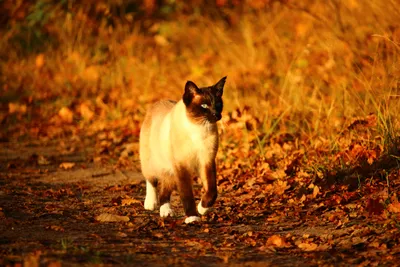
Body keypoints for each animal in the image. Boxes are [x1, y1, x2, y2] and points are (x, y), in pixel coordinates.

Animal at [140, 77, 228, 224]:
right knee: (151, 179)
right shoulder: (182, 166)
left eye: (218, 104)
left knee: (164, 191)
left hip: (170, 170)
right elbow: (187, 194)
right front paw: (193, 217)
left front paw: (202, 209)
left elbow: (212, 190)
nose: (217, 115)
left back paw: (166, 212)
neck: (199, 127)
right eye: (204, 106)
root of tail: (158, 102)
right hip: (154, 161)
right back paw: (150, 203)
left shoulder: (206, 161)